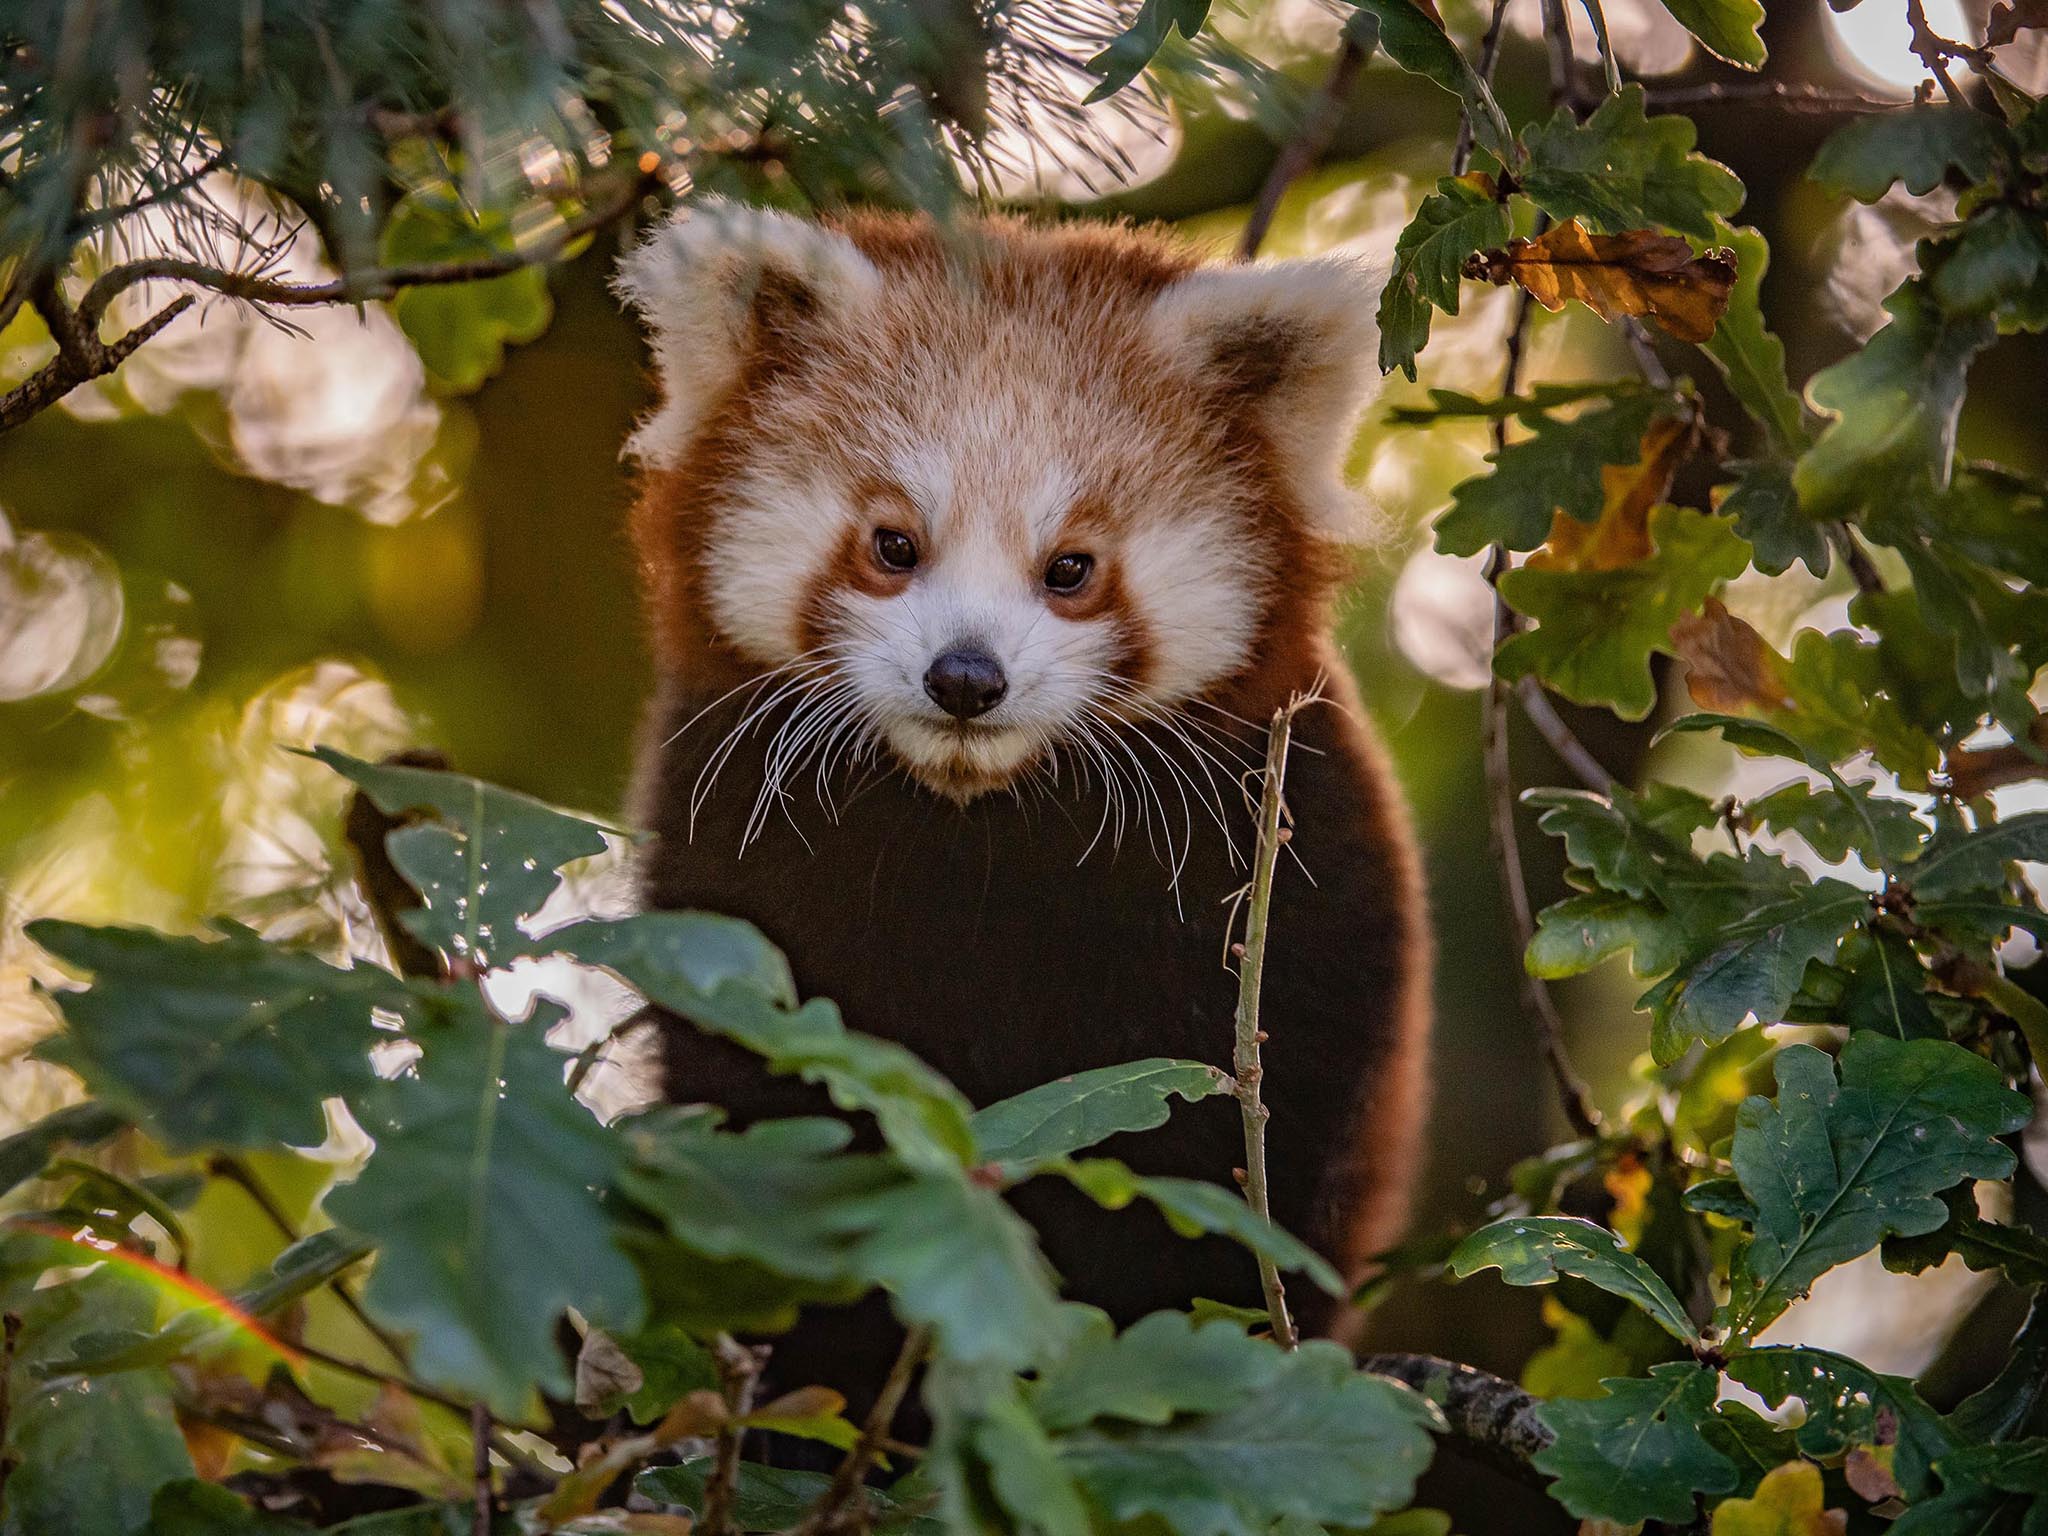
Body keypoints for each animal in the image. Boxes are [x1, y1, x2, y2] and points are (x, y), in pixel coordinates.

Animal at [614, 207, 1433, 1409]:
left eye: (1071, 568)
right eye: (893, 545)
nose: (966, 676)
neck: (982, 833)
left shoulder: (1304, 867)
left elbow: (1256, 1157)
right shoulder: (727, 847)